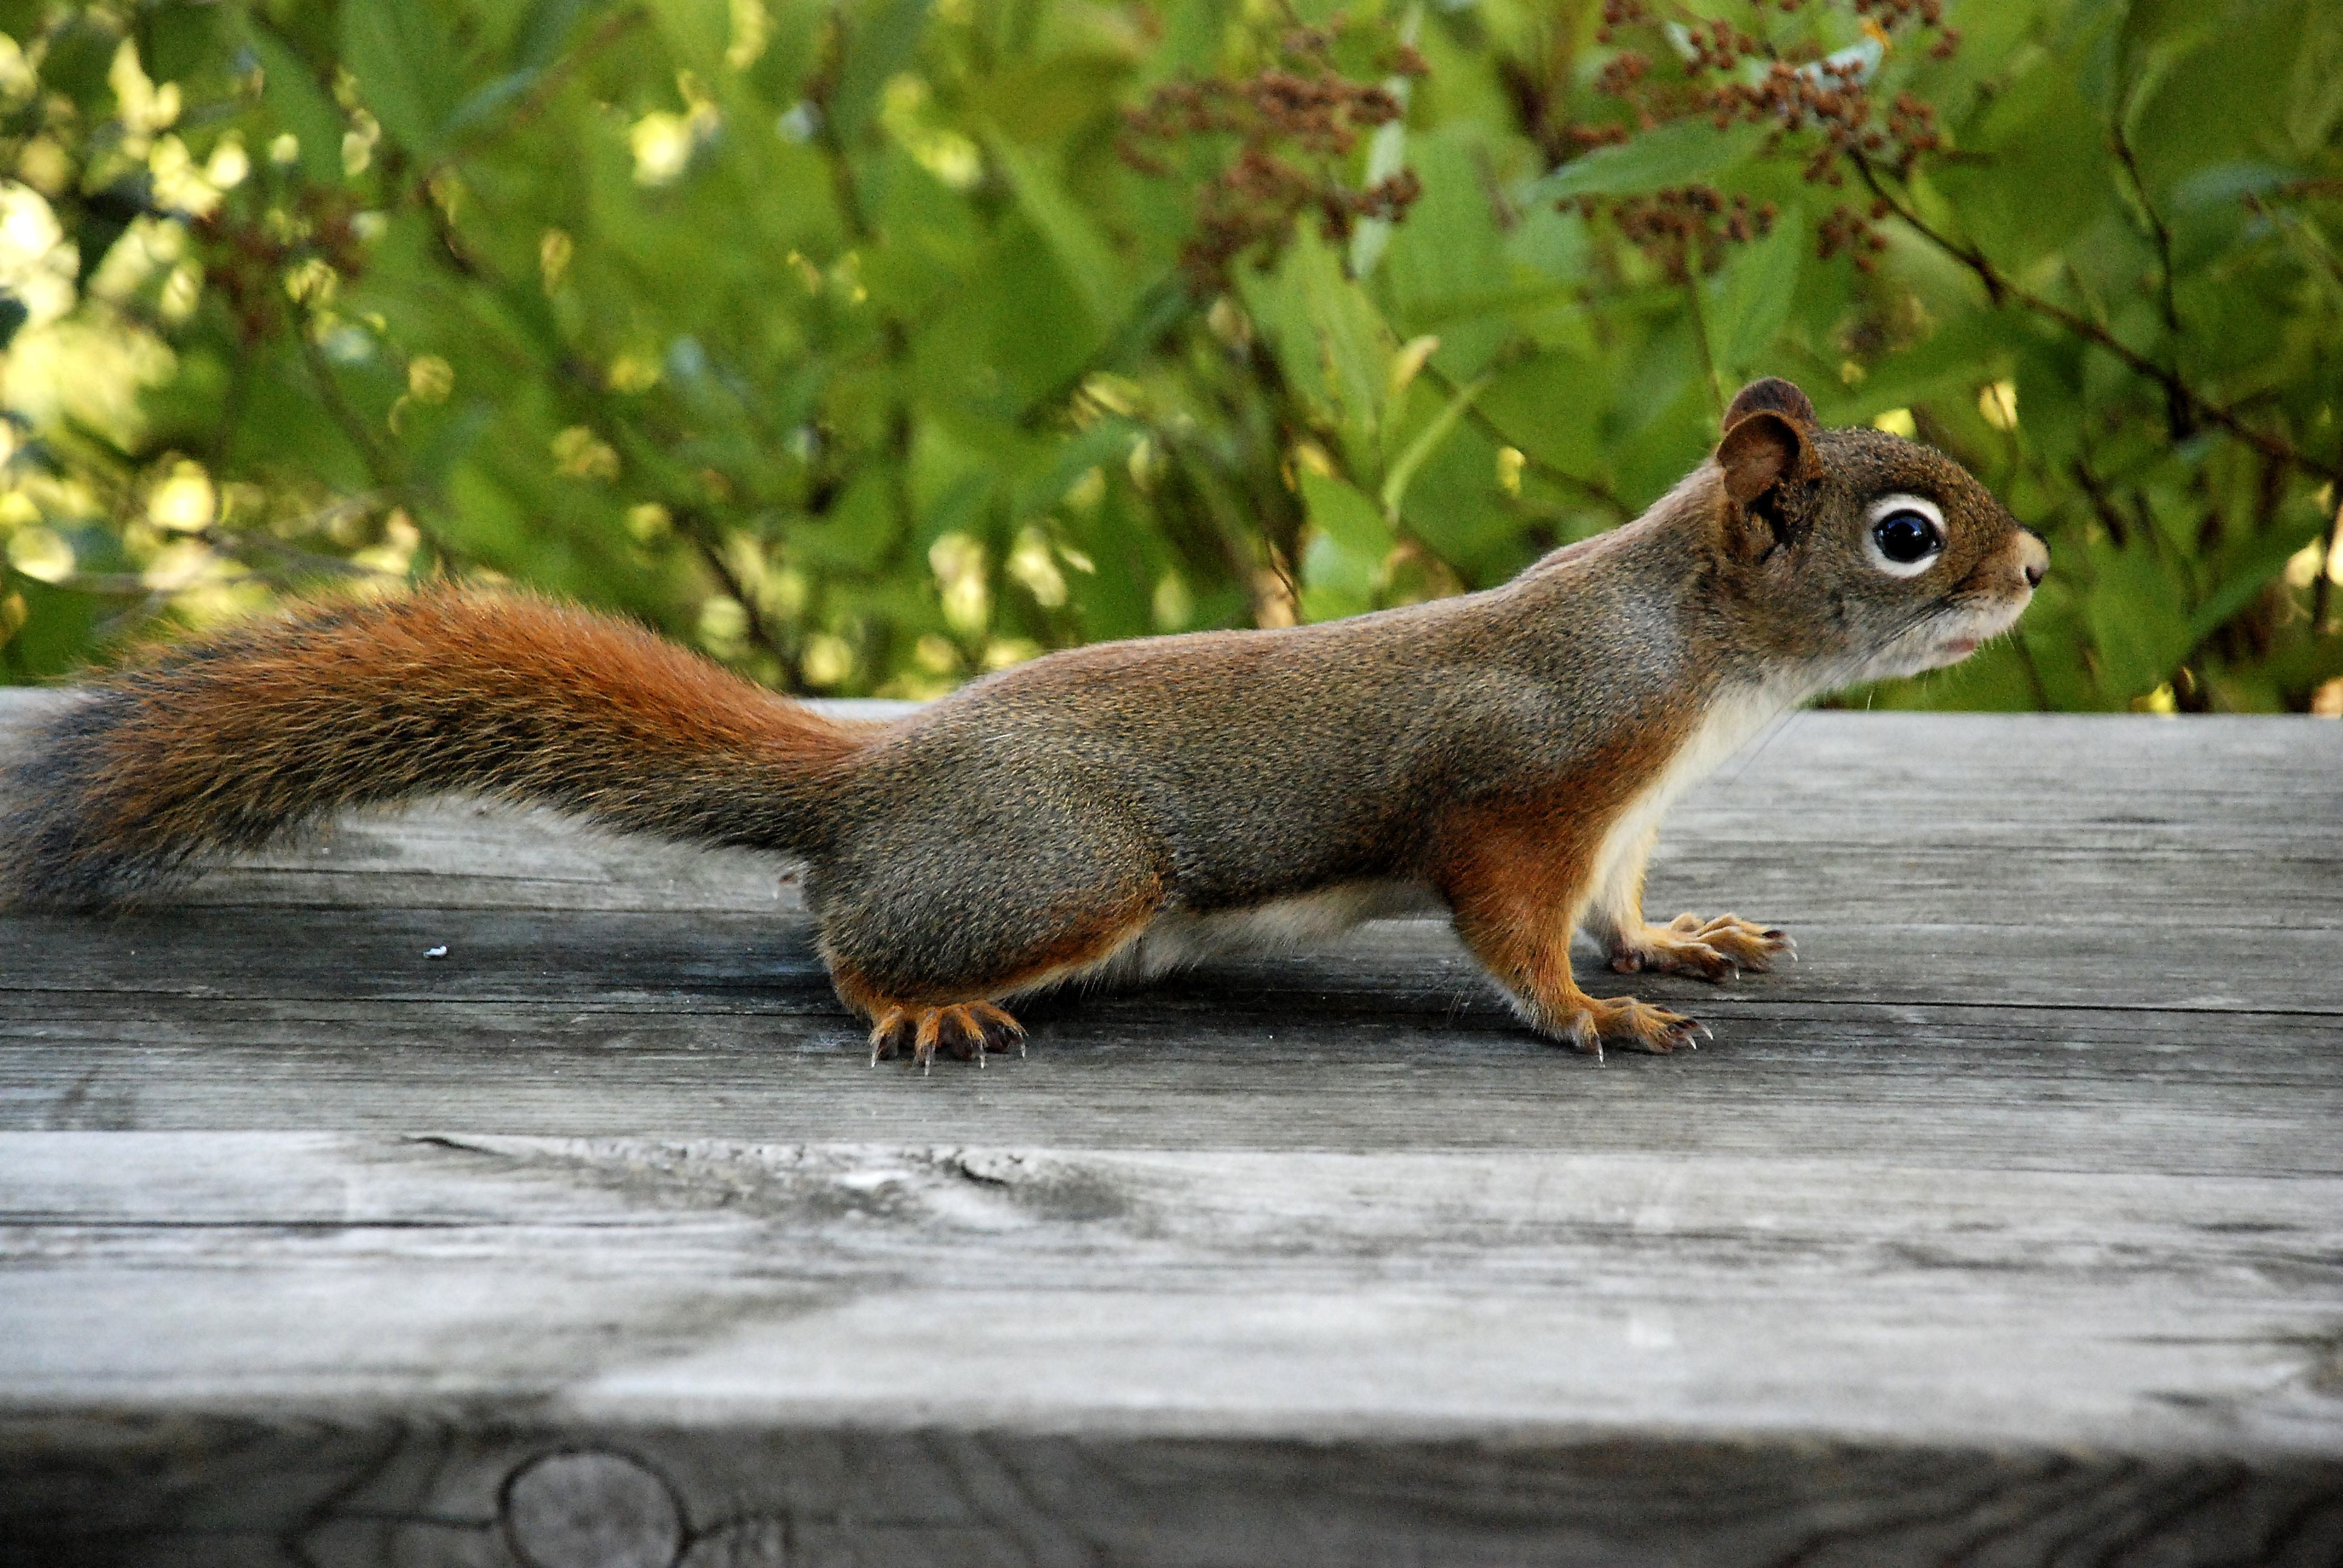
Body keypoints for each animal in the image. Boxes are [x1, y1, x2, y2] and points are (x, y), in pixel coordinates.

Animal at [0, 377, 2045, 1069]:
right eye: (1907, 532)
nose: (2031, 569)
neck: (1696, 663)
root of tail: (880, 777)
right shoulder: (1524, 787)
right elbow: (1516, 929)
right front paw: (1592, 1018)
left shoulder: (1623, 816)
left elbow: (1622, 903)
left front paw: (1677, 943)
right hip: (1070, 872)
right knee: (842, 941)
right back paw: (912, 1005)